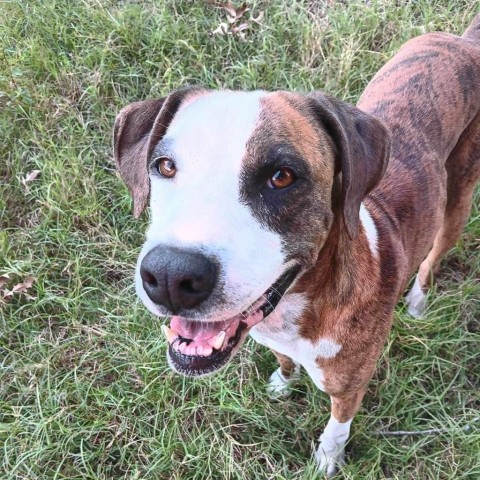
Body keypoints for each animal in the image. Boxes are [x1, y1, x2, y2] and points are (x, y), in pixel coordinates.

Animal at [113, 16, 480, 478]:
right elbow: (284, 364)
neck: (296, 313)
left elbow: (338, 427)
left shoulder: (349, 388)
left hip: (458, 201)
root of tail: (464, 41)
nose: (170, 276)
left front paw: (327, 458)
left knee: (434, 255)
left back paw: (417, 301)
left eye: (282, 176)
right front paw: (284, 383)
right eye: (164, 166)